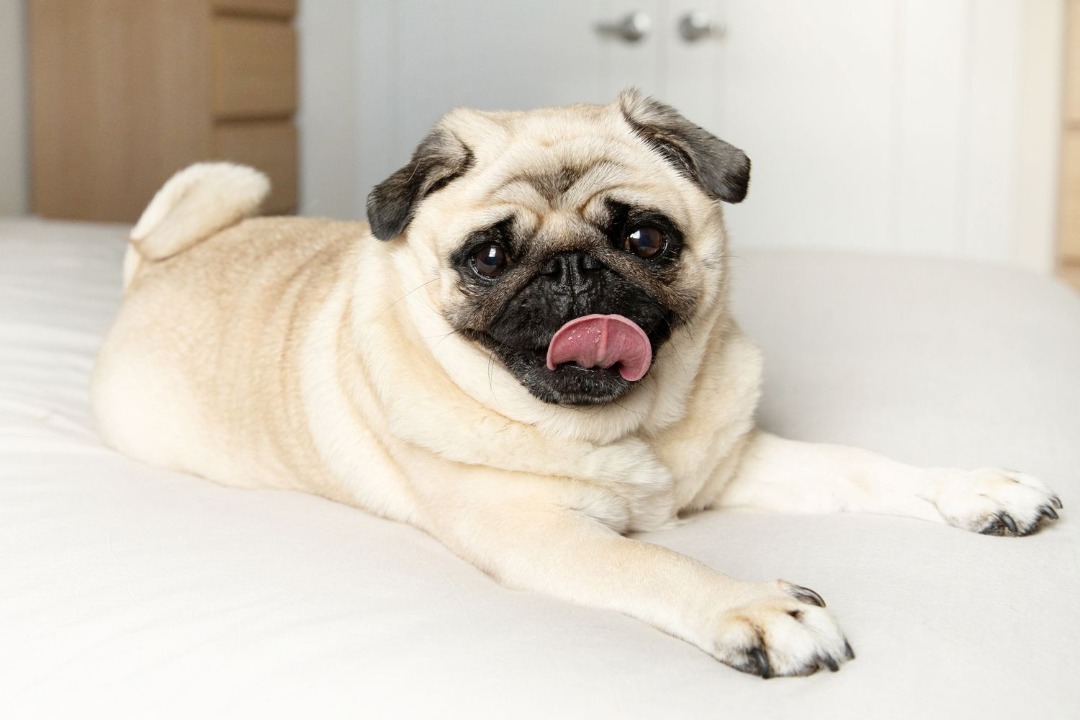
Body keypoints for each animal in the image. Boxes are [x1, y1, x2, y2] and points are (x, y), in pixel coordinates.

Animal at [92, 90, 1062, 678]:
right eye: (488, 257)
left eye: (644, 239)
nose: (571, 271)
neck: (629, 433)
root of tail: (153, 262)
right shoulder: (540, 536)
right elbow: (659, 562)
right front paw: (756, 606)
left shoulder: (733, 465)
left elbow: (861, 466)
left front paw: (978, 491)